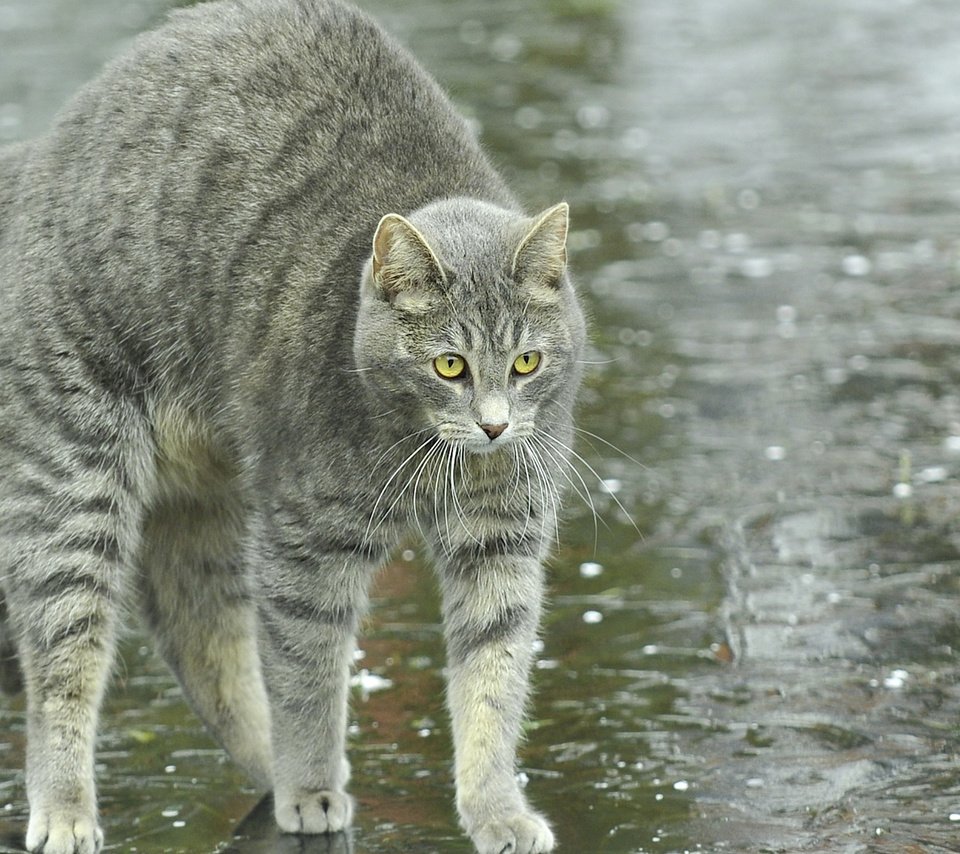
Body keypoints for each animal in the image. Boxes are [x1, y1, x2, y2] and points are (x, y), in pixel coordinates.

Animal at [0, 1, 584, 854]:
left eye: (527, 362)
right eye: (449, 365)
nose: (494, 429)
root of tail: (37, 152)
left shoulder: (501, 537)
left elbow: (493, 679)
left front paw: (496, 809)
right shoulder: (309, 542)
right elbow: (308, 674)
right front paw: (310, 785)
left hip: (204, 502)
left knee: (199, 635)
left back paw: (265, 766)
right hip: (75, 485)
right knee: (62, 665)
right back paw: (72, 808)